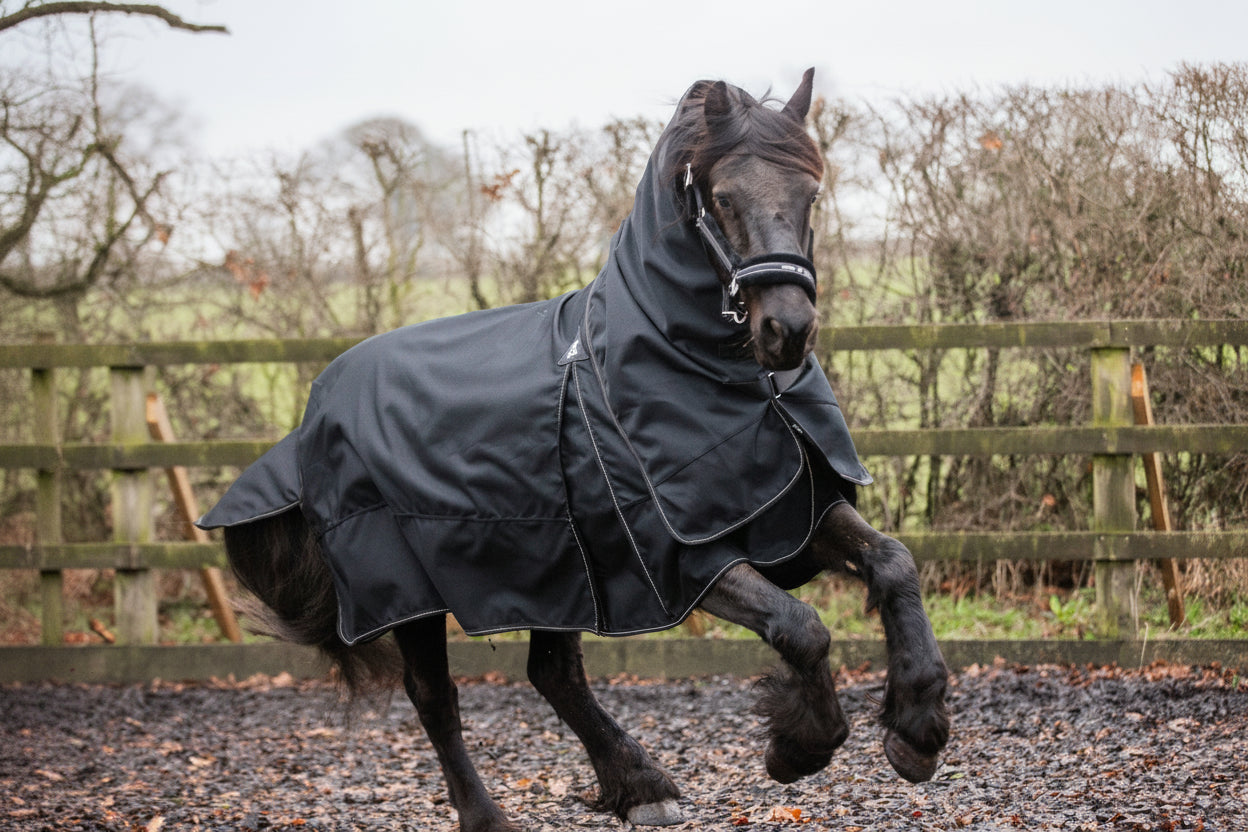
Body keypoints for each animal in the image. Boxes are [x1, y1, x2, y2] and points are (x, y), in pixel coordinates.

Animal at [199, 69, 950, 831]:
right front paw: (799, 748)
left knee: (552, 674)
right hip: (409, 590)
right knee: (435, 697)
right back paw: (492, 816)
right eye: (722, 197)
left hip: (555, 571)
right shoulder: (681, 557)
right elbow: (802, 628)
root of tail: (316, 405)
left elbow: (894, 563)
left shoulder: (790, 511)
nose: (788, 331)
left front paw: (917, 730)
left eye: (811, 194)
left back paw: (644, 788)